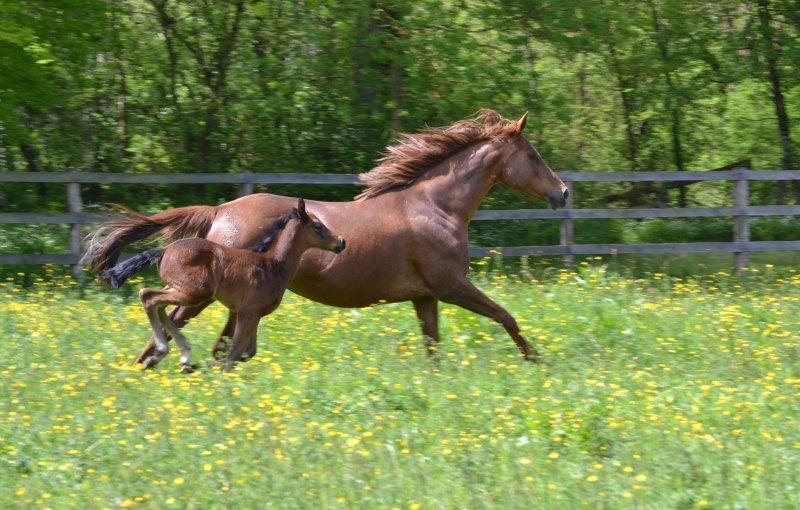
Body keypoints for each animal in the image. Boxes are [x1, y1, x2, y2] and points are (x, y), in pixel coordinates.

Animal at [99, 198, 345, 372]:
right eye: (317, 226)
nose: (341, 242)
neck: (273, 265)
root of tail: (164, 250)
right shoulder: (248, 313)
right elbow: (234, 353)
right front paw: (208, 368)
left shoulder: (254, 314)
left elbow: (246, 353)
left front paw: (199, 366)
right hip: (194, 292)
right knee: (148, 296)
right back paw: (169, 353)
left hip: (180, 289)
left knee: (159, 305)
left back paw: (177, 356)